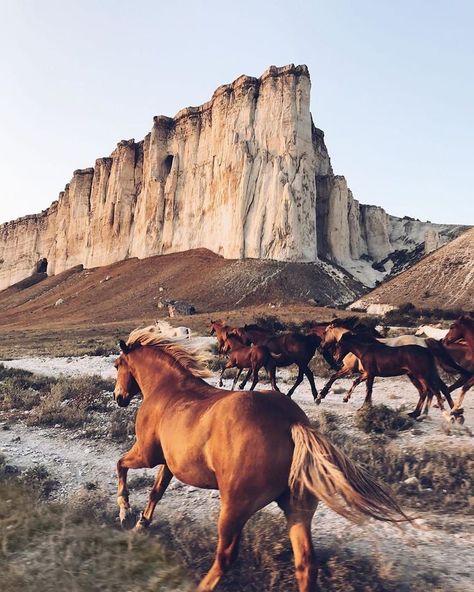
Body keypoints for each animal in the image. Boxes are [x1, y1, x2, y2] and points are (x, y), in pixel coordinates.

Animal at [114, 328, 412, 592]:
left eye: (118, 365)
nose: (119, 397)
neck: (168, 389)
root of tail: (291, 423)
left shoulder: (147, 454)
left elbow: (121, 465)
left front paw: (125, 511)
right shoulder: (169, 463)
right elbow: (155, 492)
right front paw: (141, 524)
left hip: (234, 507)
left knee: (225, 557)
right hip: (297, 508)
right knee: (306, 565)